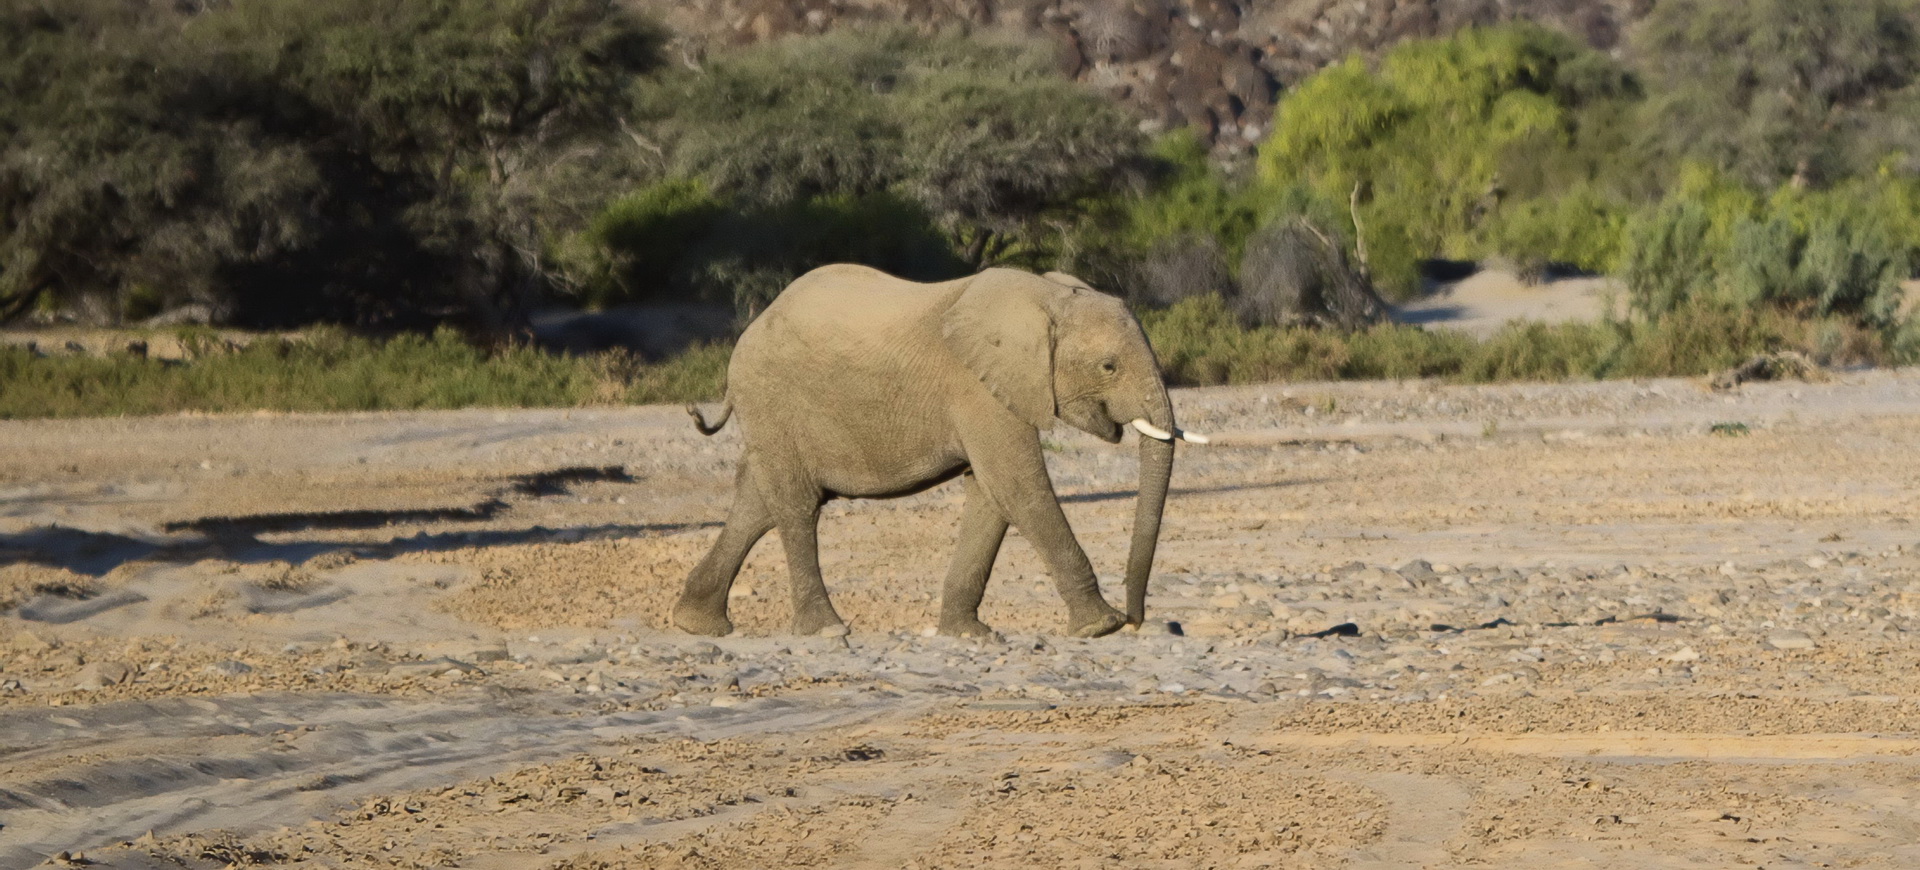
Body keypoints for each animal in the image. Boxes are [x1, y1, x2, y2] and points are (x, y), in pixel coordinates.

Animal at [672, 263, 1198, 637]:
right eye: (1109, 366)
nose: (1138, 619)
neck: (1046, 297)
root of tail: (747, 335)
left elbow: (991, 494)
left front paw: (969, 635)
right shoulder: (978, 388)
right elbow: (1017, 484)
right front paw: (1100, 628)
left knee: (760, 502)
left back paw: (697, 624)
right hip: (773, 399)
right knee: (797, 506)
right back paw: (826, 631)